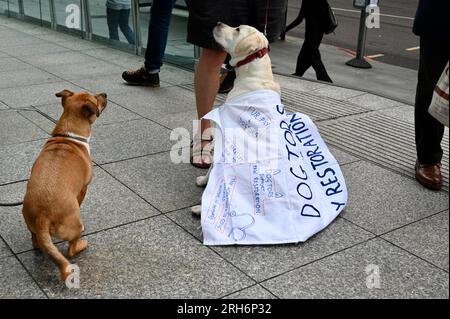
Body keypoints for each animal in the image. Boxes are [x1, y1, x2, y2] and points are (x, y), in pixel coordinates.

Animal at [22, 90, 107, 282]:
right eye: (96, 99)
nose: (105, 94)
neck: (68, 135)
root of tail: (43, 215)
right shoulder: (83, 188)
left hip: (31, 226)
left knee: (36, 241)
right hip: (74, 227)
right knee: (71, 251)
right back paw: (82, 243)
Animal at [191, 23, 282, 216]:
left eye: (238, 29)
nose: (218, 22)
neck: (254, 76)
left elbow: (212, 168)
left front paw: (204, 180)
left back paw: (200, 209)